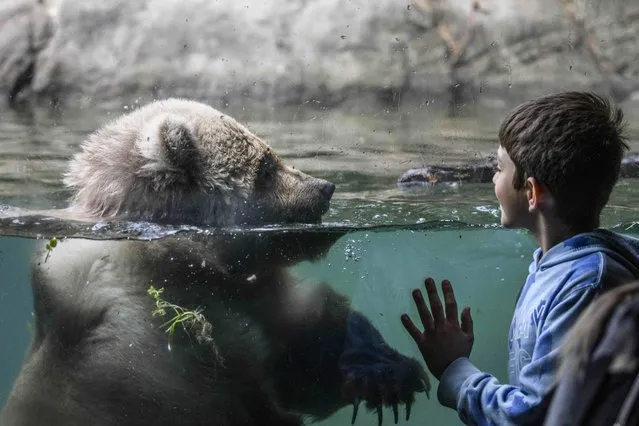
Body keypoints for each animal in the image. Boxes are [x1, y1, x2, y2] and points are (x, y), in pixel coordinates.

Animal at [1, 99, 430, 426]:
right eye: (266, 166)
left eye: (270, 152)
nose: (325, 188)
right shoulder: (146, 349)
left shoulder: (248, 299)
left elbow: (304, 349)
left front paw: (386, 368)